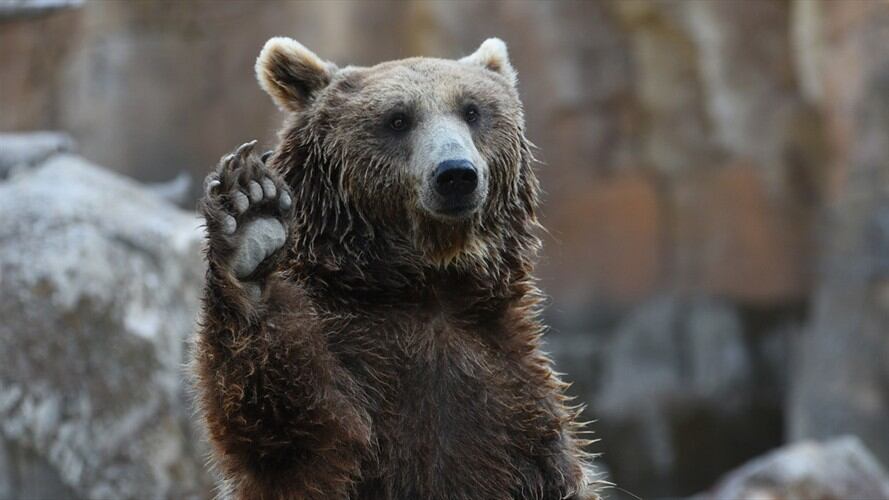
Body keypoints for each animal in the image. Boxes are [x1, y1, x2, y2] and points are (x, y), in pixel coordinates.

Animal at [194, 37, 599, 500]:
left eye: (472, 110)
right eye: (398, 119)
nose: (456, 174)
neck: (428, 286)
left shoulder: (520, 401)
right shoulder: (352, 371)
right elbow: (287, 429)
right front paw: (251, 217)